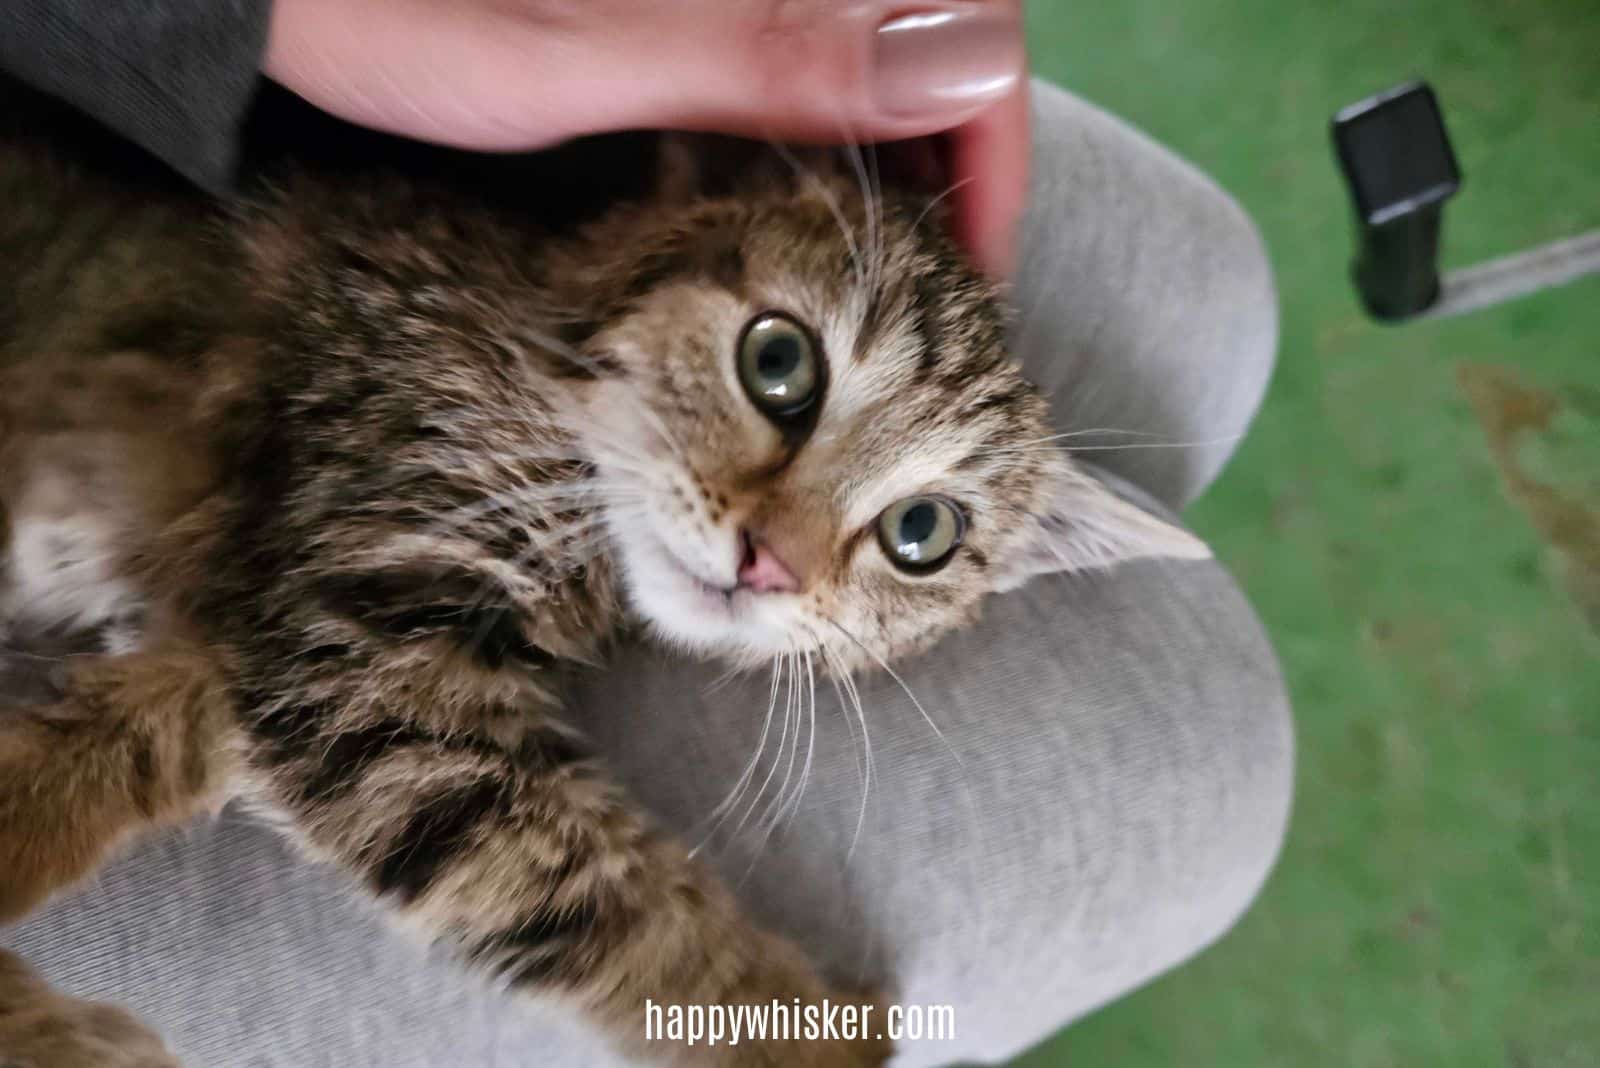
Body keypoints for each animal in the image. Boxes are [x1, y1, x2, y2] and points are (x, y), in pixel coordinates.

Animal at [0, 103, 1203, 1061]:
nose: (770, 561)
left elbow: (122, 739)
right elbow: (596, 891)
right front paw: (816, 1037)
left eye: (922, 533)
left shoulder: (258, 636)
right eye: (779, 361)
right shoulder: (363, 651)